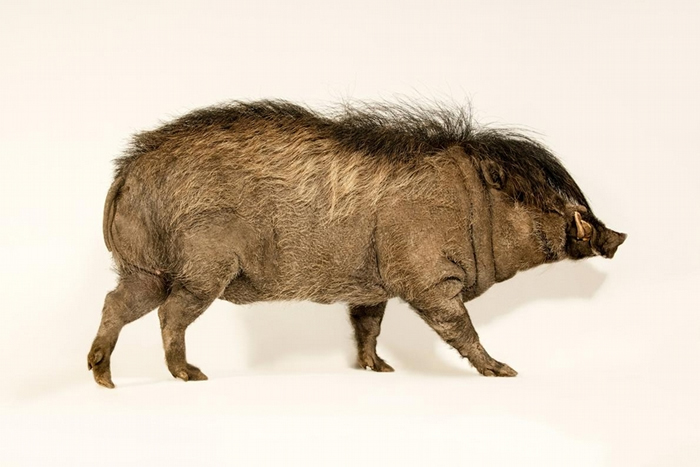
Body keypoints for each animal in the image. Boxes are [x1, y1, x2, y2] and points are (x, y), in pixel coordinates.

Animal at [87, 100, 626, 388]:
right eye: (528, 195)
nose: (619, 237)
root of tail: (126, 171)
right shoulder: (429, 280)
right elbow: (460, 327)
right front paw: (504, 373)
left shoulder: (373, 287)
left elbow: (368, 326)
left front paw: (380, 370)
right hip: (203, 268)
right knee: (170, 313)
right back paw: (190, 375)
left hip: (147, 270)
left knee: (116, 302)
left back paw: (104, 378)